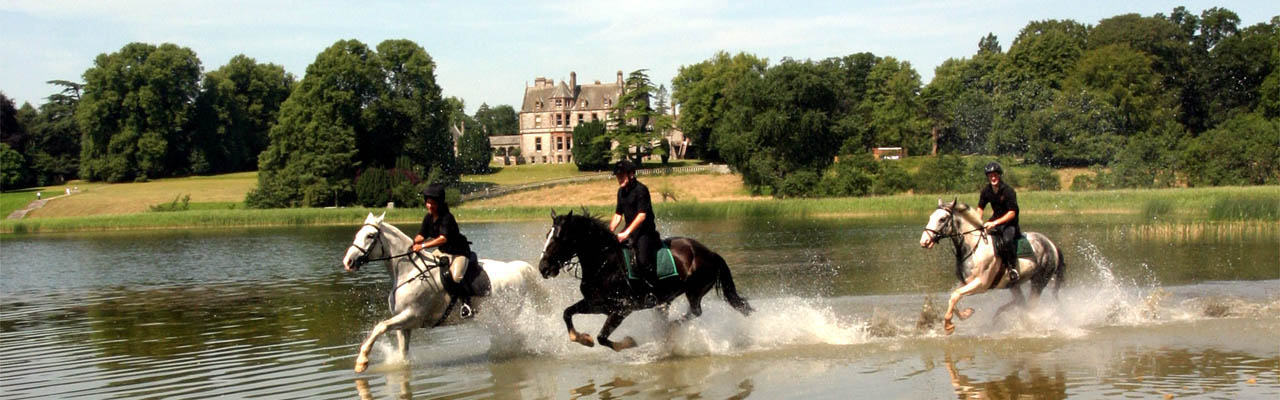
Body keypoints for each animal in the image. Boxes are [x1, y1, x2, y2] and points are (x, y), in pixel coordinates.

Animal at [340, 212, 540, 371]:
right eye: (358, 234)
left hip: (508, 313)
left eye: (370, 235)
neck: (409, 272)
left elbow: (380, 327)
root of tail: (516, 268)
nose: (348, 262)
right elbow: (402, 352)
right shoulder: (403, 324)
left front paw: (362, 362)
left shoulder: (412, 316)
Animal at [537, 208, 752, 348]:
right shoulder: (595, 304)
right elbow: (567, 313)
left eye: (560, 238)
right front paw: (583, 339)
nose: (543, 268)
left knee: (695, 311)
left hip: (695, 291)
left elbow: (603, 338)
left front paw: (629, 343)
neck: (605, 264)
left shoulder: (622, 309)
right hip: (668, 296)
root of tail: (710, 253)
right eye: (547, 235)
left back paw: (670, 329)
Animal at [916, 198, 1064, 333]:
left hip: (1039, 281)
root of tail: (1051, 244)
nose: (924, 241)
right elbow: (953, 296)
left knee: (1030, 306)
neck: (973, 248)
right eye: (931, 217)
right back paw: (999, 316)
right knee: (1021, 302)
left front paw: (948, 325)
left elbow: (955, 295)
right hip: (1013, 284)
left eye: (942, 219)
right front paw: (966, 313)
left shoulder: (981, 284)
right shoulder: (965, 282)